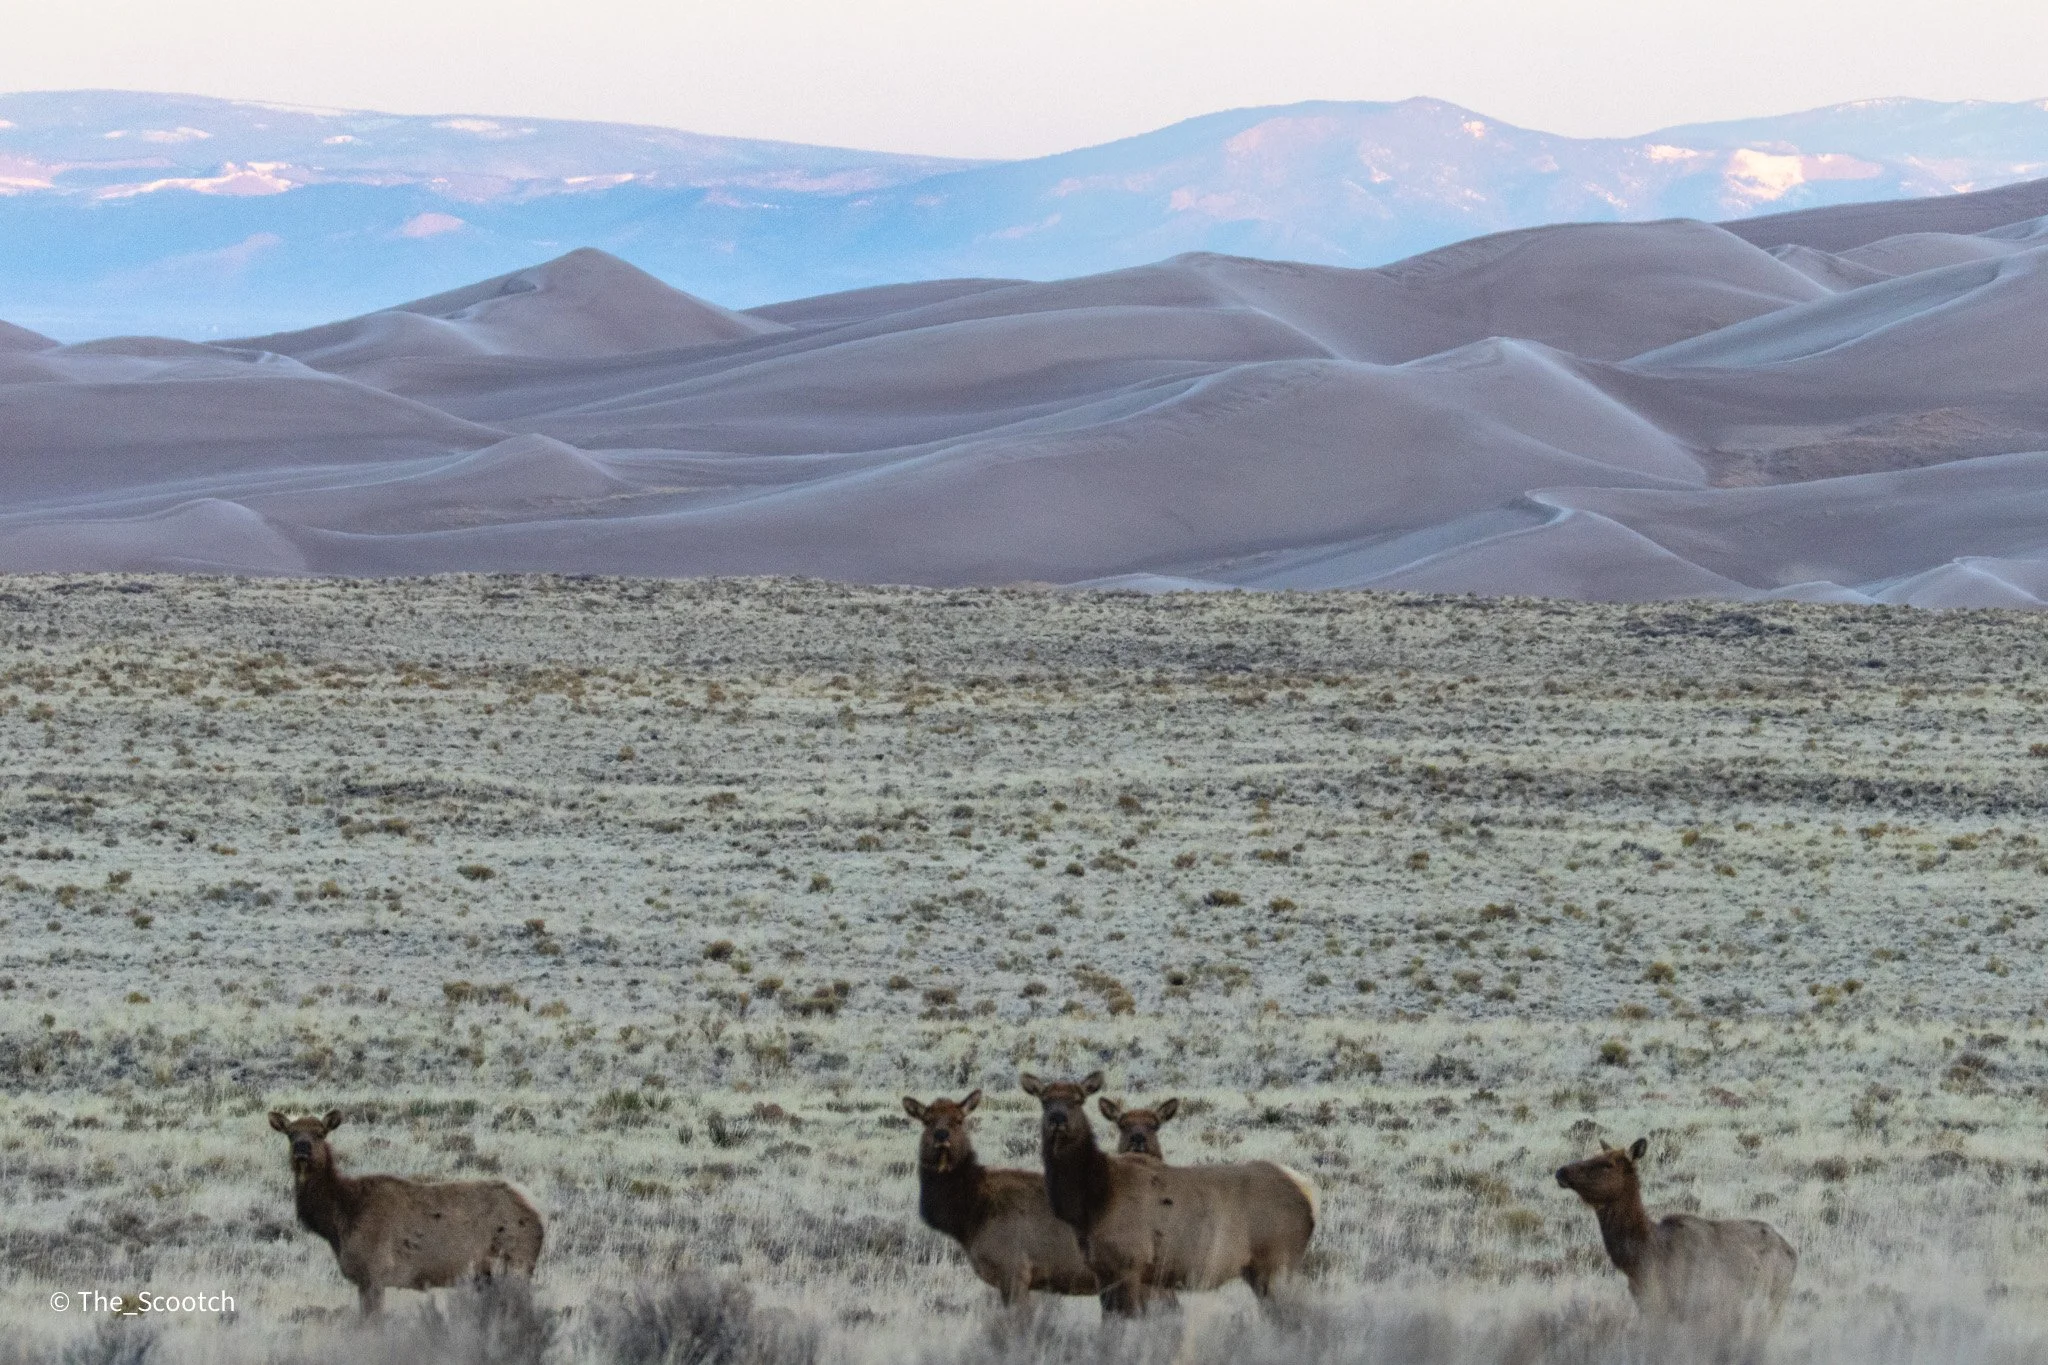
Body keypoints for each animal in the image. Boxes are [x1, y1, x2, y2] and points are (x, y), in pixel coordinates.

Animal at [268, 1110, 544, 1314]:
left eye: (320, 1133)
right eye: (290, 1134)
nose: (302, 1148)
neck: (339, 1222)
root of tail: (539, 1216)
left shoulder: (375, 1272)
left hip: (516, 1263)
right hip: (486, 1276)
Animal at [1020, 1072, 1316, 1315]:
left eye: (1078, 1099)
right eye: (1044, 1100)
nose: (1058, 1119)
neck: (1093, 1204)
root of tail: (1310, 1197)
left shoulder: (1131, 1261)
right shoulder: (1102, 1270)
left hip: (1277, 1260)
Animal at [1556, 1138, 1796, 1362]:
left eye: (1607, 1164)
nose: (1561, 1171)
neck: (1642, 1258)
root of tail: (1792, 1254)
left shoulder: (1679, 1305)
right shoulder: (1647, 1304)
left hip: (1772, 1299)